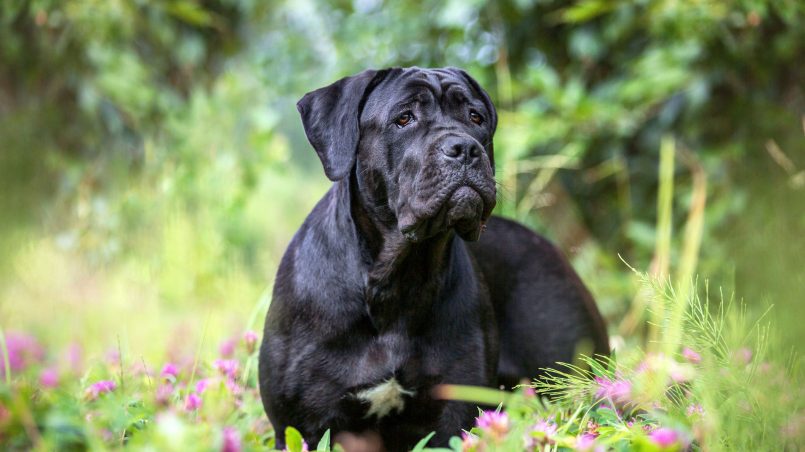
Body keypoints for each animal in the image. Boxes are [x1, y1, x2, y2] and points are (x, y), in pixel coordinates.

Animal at [260, 66, 608, 448]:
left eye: (475, 117)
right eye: (404, 118)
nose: (465, 148)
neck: (396, 276)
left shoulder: (454, 414)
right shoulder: (305, 424)